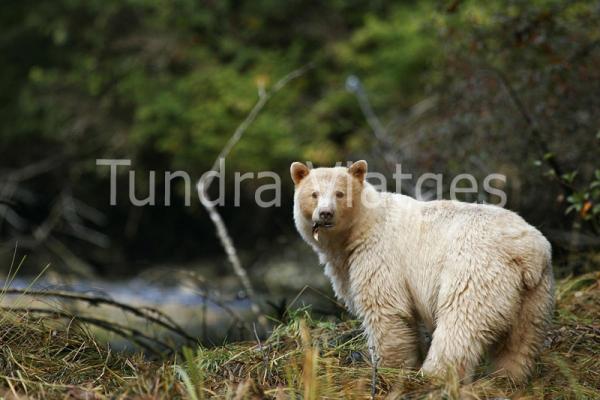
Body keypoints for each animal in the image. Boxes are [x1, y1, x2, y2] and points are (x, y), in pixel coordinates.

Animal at [290, 159, 552, 382]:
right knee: (521, 338)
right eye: (314, 194)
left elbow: (385, 310)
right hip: (534, 292)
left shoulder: (379, 255)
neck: (361, 227)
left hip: (476, 271)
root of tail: (528, 252)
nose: (325, 213)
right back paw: (507, 376)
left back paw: (434, 374)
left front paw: (389, 369)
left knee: (461, 324)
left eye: (340, 193)